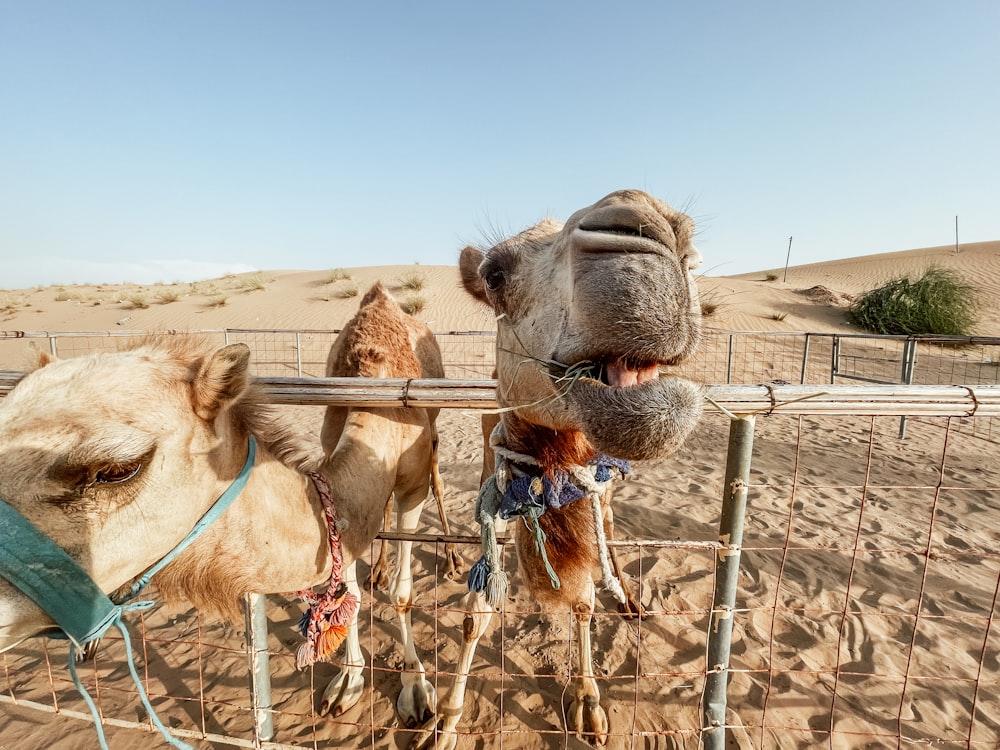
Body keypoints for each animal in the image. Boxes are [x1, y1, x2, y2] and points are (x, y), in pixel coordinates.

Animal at [0, 286, 446, 736]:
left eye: (117, 469)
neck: (380, 409)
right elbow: (347, 585)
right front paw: (348, 681)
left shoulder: (413, 488)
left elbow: (402, 594)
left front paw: (415, 689)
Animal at [414, 188, 704, 748]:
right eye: (494, 274)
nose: (652, 225)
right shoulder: (498, 489)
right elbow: (477, 612)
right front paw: (443, 720)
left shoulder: (588, 492)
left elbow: (585, 599)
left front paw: (589, 703)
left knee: (609, 529)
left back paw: (629, 598)